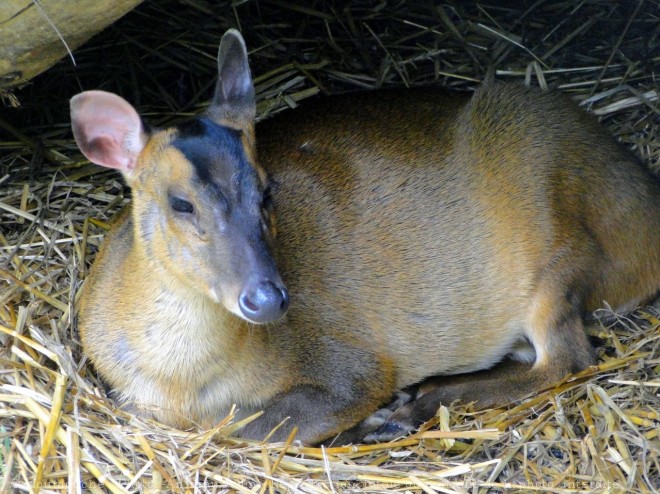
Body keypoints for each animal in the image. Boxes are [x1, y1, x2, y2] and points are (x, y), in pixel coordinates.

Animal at [71, 29, 660, 444]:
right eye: (180, 202)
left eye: (267, 191)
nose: (268, 297)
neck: (185, 385)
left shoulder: (351, 363)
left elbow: (255, 428)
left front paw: (372, 420)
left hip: (559, 248)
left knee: (568, 357)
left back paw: (413, 403)